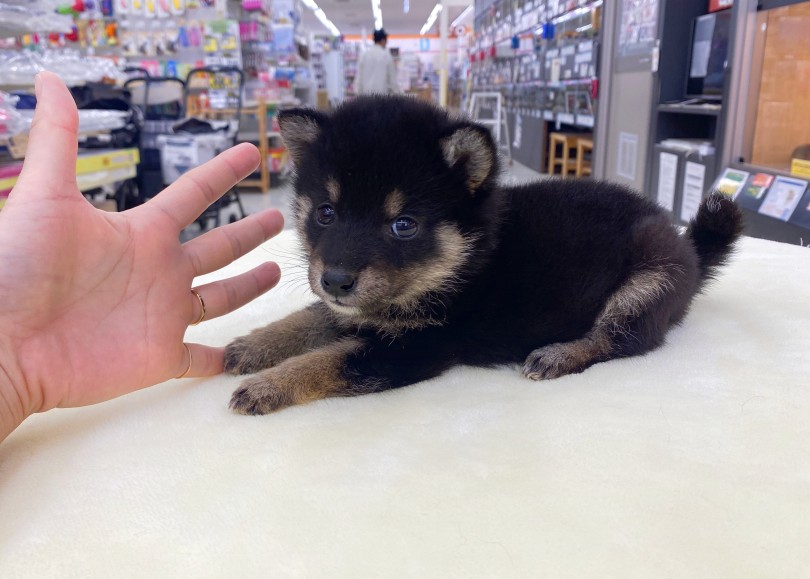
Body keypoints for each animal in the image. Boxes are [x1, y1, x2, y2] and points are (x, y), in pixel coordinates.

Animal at [221, 95, 740, 414]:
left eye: (403, 224)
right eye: (326, 213)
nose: (335, 280)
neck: (464, 262)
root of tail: (689, 247)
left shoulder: (418, 344)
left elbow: (326, 361)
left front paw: (269, 384)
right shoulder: (353, 313)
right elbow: (305, 320)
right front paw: (253, 346)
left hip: (650, 278)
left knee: (620, 337)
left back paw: (559, 354)